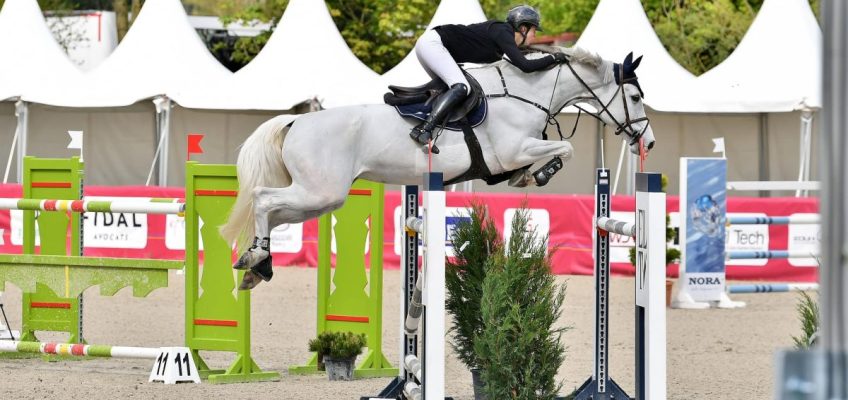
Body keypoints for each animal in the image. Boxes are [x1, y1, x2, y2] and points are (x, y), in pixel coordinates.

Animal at [220, 48, 656, 290]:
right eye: (635, 96)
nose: (648, 142)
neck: (524, 93)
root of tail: (296, 121)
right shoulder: (513, 150)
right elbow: (564, 147)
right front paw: (537, 174)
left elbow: (559, 148)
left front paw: (531, 175)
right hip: (320, 191)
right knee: (263, 200)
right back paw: (256, 259)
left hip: (321, 198)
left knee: (274, 212)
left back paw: (257, 264)